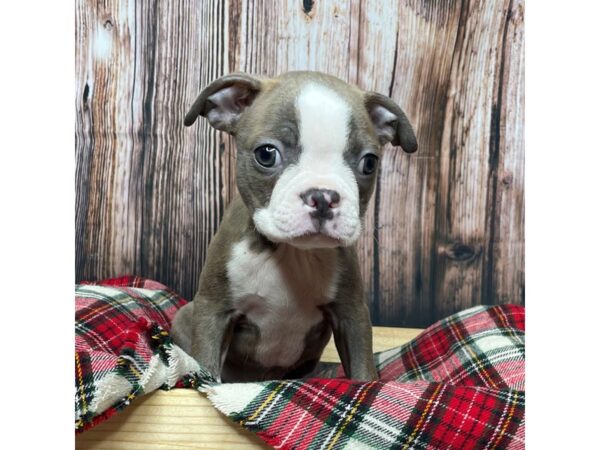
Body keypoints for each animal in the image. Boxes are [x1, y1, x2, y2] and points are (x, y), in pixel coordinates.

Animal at [170, 71, 418, 384]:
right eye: (266, 154)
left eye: (369, 163)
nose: (323, 196)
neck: (291, 252)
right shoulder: (214, 309)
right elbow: (207, 367)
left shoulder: (351, 314)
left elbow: (362, 371)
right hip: (185, 316)